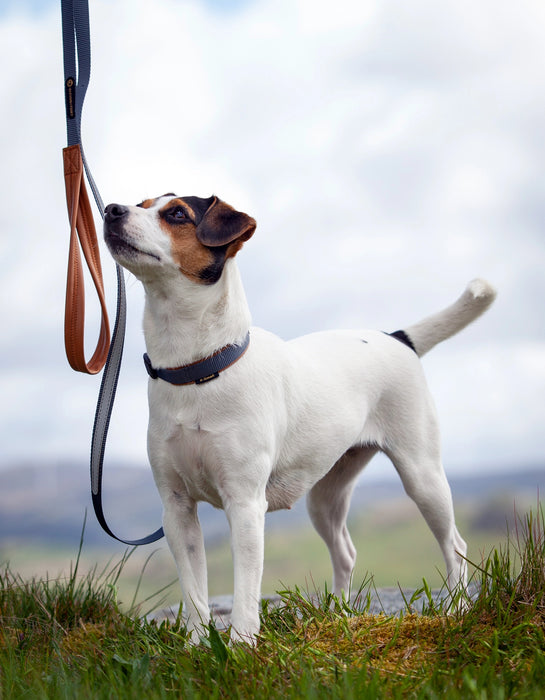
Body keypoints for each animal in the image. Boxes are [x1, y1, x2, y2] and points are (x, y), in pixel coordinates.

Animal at [103, 194, 498, 644]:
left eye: (177, 214)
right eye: (142, 203)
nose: (111, 210)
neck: (197, 370)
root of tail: (398, 338)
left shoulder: (245, 503)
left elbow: (245, 590)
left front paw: (241, 645)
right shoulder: (176, 508)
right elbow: (194, 591)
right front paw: (197, 643)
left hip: (422, 475)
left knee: (455, 545)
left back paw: (457, 608)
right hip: (324, 495)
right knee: (345, 552)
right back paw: (339, 615)